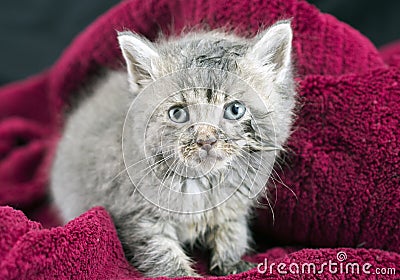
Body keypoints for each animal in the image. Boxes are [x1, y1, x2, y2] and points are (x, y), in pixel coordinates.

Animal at [50, 20, 296, 278]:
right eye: (178, 113)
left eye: (235, 109)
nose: (206, 140)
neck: (203, 183)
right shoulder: (137, 215)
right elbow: (161, 252)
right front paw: (182, 273)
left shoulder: (234, 204)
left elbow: (233, 232)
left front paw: (231, 262)